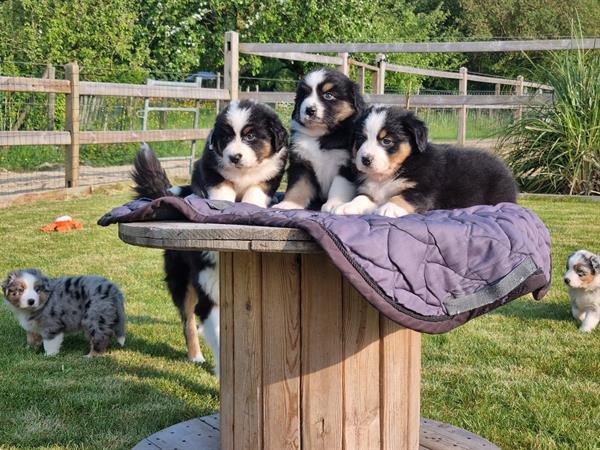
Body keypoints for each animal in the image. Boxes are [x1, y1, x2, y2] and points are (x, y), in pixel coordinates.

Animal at [132, 101, 288, 376]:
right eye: (226, 138)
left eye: (251, 136)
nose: (235, 157)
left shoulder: (265, 179)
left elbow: (256, 192)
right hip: (183, 282)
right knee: (188, 321)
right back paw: (196, 356)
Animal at [274, 67, 366, 212]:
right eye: (304, 95)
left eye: (328, 95)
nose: (309, 110)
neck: (320, 134)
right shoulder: (301, 162)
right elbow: (298, 186)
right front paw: (289, 204)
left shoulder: (346, 164)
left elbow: (339, 186)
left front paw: (334, 204)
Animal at [336, 106, 516, 217]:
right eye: (361, 139)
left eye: (386, 141)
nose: (365, 159)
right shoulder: (371, 192)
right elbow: (362, 198)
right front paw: (347, 206)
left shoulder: (424, 189)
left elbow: (403, 196)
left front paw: (388, 208)